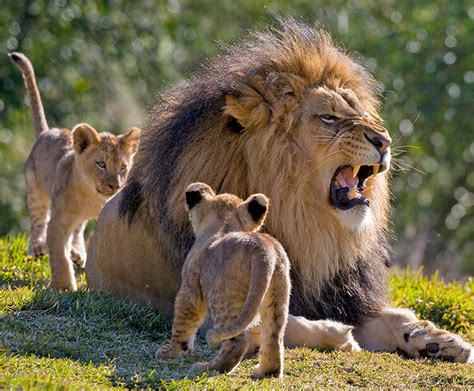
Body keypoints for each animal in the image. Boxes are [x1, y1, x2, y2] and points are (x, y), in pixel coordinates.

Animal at [86, 17, 474, 362]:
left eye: (359, 110)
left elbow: (394, 317)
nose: (385, 141)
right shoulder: (214, 316)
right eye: (329, 117)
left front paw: (437, 339)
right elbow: (284, 322)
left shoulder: (339, 295)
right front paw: (339, 335)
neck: (307, 230)